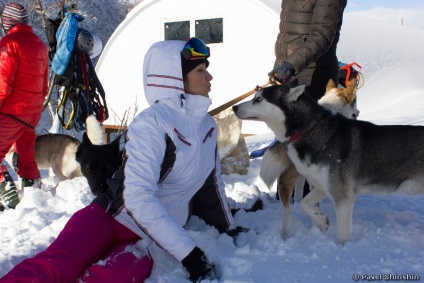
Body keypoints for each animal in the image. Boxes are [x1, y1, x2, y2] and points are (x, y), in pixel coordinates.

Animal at [234, 84, 424, 244]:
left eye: (259, 99)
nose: (234, 107)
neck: (310, 129)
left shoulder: (342, 197)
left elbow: (342, 237)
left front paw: (341, 250)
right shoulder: (321, 185)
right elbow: (305, 203)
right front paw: (321, 221)